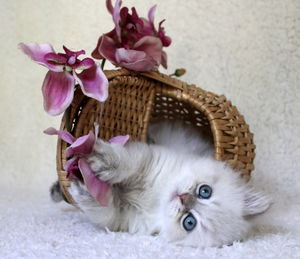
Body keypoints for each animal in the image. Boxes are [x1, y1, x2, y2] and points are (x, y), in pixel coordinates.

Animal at [52, 121, 270, 248]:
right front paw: (100, 159)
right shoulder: (148, 159)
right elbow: (125, 163)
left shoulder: (124, 217)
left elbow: (104, 208)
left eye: (189, 222)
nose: (183, 198)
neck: (156, 197)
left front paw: (84, 187)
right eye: (205, 191)